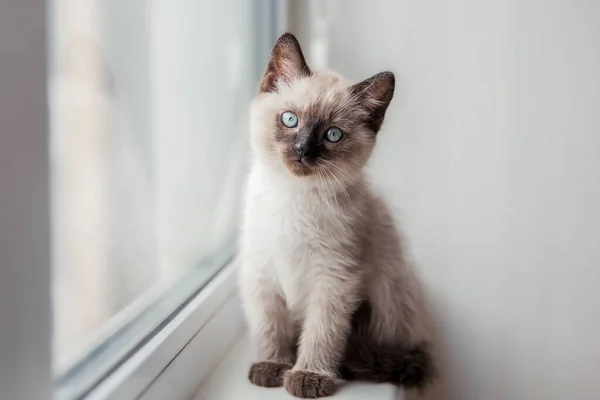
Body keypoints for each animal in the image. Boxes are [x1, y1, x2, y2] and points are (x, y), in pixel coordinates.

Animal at [239, 33, 436, 396]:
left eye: (332, 135)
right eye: (290, 120)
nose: (302, 151)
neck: (295, 196)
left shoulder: (333, 278)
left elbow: (321, 333)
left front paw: (308, 377)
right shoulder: (261, 272)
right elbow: (269, 327)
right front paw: (271, 366)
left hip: (386, 303)